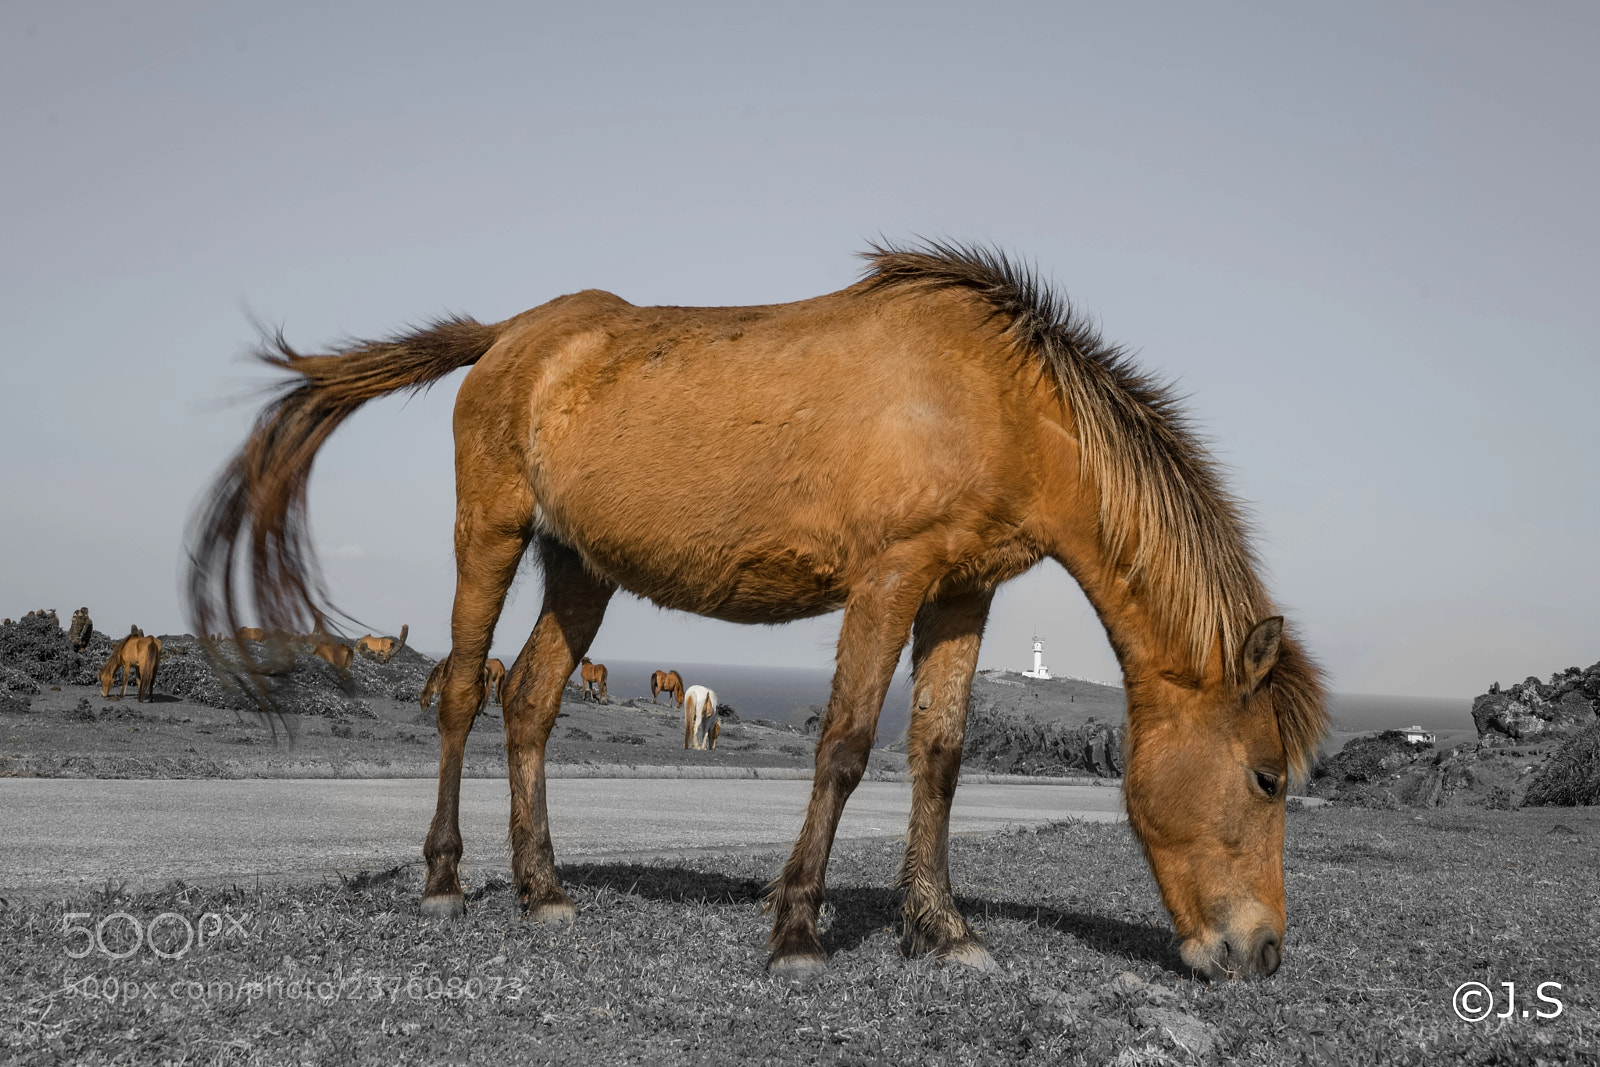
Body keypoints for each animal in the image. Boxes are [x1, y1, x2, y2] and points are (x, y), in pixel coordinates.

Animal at [186, 242, 1326, 981]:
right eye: (1266, 775)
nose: (1264, 951)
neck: (994, 400)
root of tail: (510, 337)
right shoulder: (889, 579)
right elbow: (848, 745)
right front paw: (796, 929)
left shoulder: (962, 592)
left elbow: (940, 753)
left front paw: (941, 927)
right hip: (493, 534)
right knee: (466, 691)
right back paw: (446, 877)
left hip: (580, 567)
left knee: (532, 702)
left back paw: (542, 887)